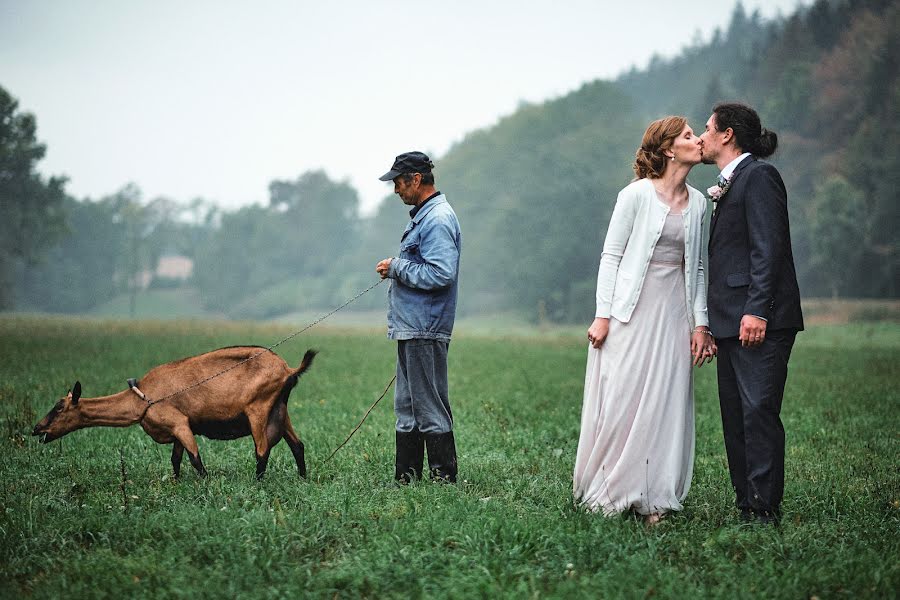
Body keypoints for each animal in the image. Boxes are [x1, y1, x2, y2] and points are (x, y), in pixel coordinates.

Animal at [31, 346, 318, 478]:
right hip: (280, 410)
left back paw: (258, 482)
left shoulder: (179, 423)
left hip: (258, 409)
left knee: (262, 449)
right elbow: (176, 460)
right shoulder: (177, 429)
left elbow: (195, 459)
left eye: (59, 407)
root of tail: (287, 369)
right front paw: (176, 482)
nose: (37, 428)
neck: (141, 399)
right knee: (298, 445)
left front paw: (205, 484)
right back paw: (302, 478)